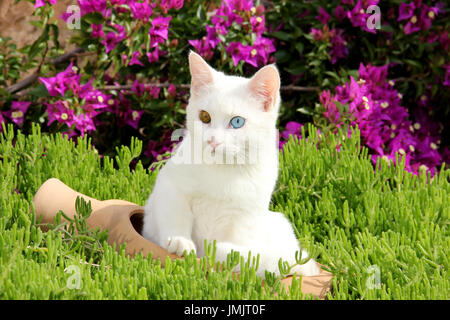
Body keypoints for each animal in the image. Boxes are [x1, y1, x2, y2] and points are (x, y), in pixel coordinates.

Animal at [142, 52, 322, 278]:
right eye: (204, 116)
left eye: (237, 122)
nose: (212, 141)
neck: (223, 168)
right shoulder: (170, 185)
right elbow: (175, 213)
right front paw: (179, 241)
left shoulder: (247, 218)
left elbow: (239, 250)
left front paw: (224, 255)